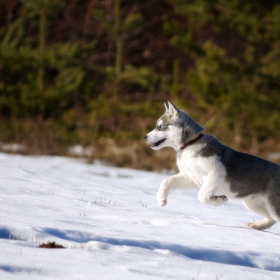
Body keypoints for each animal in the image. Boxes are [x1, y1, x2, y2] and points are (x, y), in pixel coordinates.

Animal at [144, 101, 280, 231]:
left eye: (161, 127)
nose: (145, 137)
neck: (190, 145)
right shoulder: (189, 177)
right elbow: (167, 181)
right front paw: (161, 199)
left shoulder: (217, 171)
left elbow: (202, 195)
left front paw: (219, 200)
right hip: (253, 203)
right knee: (271, 218)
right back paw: (257, 226)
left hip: (272, 204)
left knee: (274, 217)